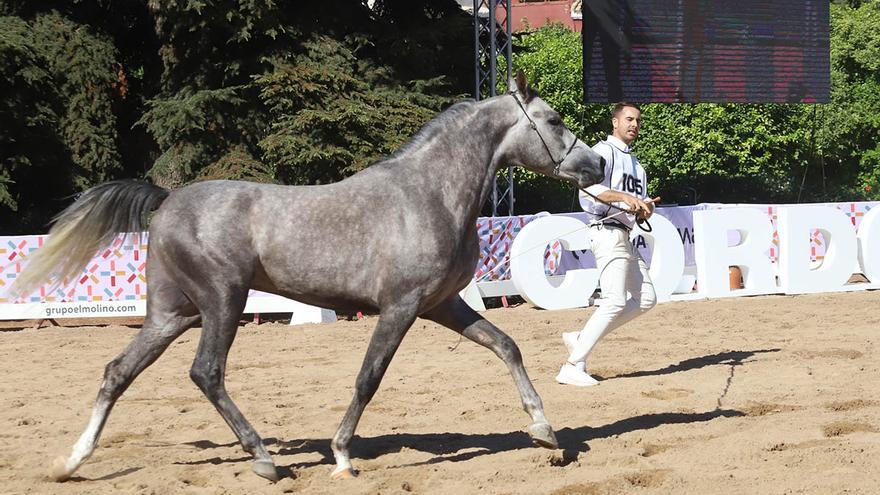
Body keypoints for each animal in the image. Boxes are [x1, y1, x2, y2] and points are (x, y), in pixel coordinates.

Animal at [13, 73, 604, 484]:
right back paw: (263, 459)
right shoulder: (401, 307)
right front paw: (342, 456)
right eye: (553, 120)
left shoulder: (442, 305)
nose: (597, 165)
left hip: (171, 313)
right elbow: (369, 378)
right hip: (221, 302)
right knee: (206, 373)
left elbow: (506, 346)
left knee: (118, 371)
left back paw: (71, 462)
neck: (430, 194)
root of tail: (168, 197)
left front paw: (544, 431)